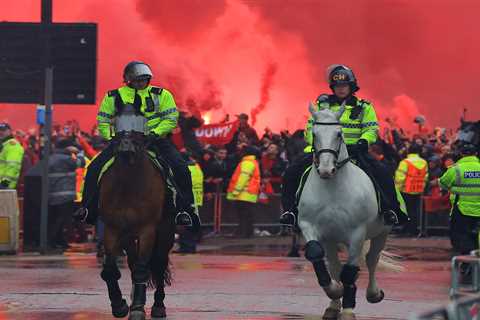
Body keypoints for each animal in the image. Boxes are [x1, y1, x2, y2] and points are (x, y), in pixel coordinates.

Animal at [98, 131, 175, 320]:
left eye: (137, 136)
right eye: (117, 136)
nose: (126, 147)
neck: (128, 187)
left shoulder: (147, 230)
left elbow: (142, 269)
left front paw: (138, 308)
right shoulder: (113, 229)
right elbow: (109, 269)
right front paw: (120, 305)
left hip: (165, 233)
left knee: (159, 264)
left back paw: (158, 306)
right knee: (134, 263)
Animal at [300, 102, 394, 320]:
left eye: (339, 133)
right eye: (314, 134)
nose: (326, 170)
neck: (332, 189)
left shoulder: (357, 233)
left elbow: (350, 271)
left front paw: (349, 309)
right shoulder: (309, 226)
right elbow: (317, 255)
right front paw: (334, 291)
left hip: (382, 232)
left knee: (371, 259)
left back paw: (373, 294)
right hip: (332, 239)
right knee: (335, 266)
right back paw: (334, 305)